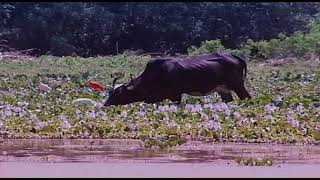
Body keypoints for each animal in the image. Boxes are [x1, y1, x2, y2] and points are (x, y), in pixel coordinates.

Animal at [104, 52, 251, 106]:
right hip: (223, 90)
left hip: (238, 86)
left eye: (118, 93)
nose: (106, 104)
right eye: (111, 92)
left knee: (247, 98)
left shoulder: (175, 96)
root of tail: (236, 57)